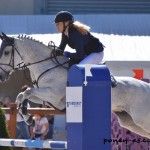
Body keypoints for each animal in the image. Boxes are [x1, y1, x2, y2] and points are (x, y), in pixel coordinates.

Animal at [0, 33, 150, 139]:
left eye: (6, 52)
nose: (1, 76)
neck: (47, 66)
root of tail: (146, 86)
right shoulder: (47, 98)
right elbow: (22, 95)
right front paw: (29, 118)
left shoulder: (52, 95)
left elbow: (27, 92)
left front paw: (29, 118)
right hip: (130, 122)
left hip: (141, 119)